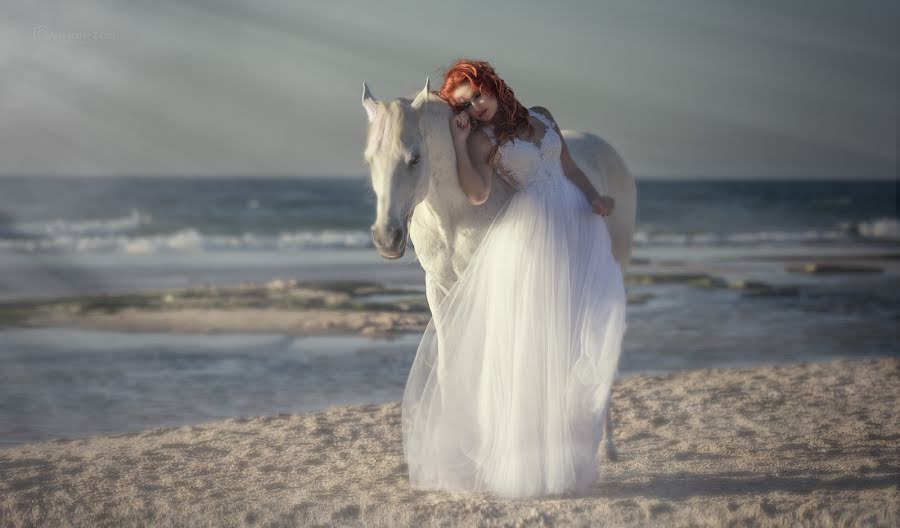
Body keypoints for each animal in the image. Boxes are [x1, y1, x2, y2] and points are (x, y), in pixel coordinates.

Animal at [362, 76, 636, 460]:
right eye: (370, 159)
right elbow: (452, 367)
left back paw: (605, 446)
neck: (457, 213)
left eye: (414, 158)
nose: (386, 238)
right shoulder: (440, 288)